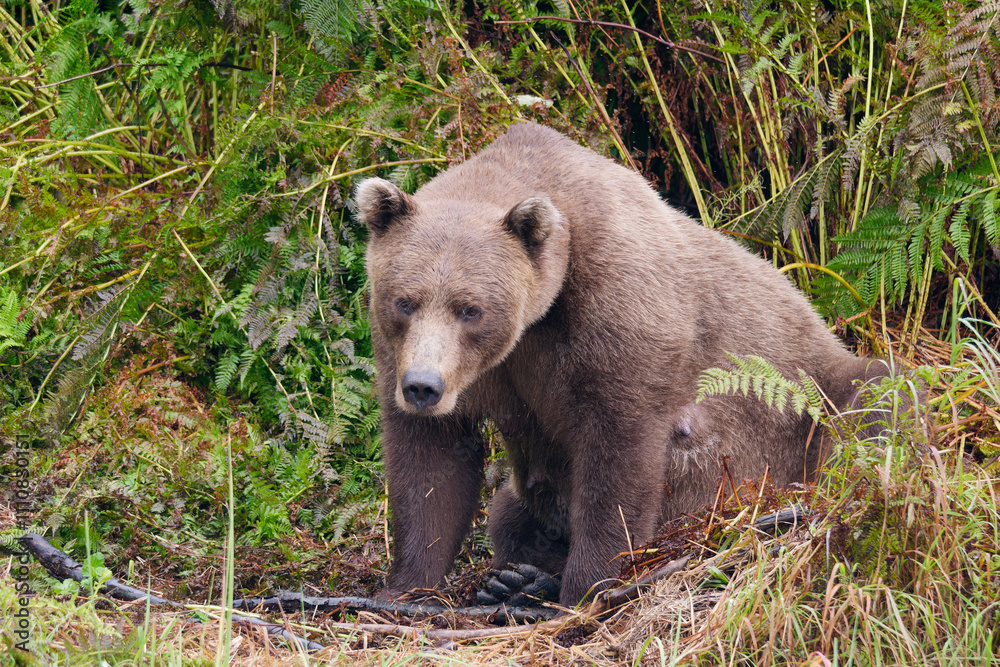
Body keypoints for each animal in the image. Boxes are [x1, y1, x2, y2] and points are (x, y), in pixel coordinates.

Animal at [355, 121, 889, 606]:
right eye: (405, 301)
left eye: (471, 309)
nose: (423, 386)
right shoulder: (438, 364)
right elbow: (431, 464)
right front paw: (404, 588)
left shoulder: (619, 311)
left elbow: (618, 453)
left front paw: (584, 590)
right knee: (509, 511)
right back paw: (514, 581)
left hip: (804, 401)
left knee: (871, 400)